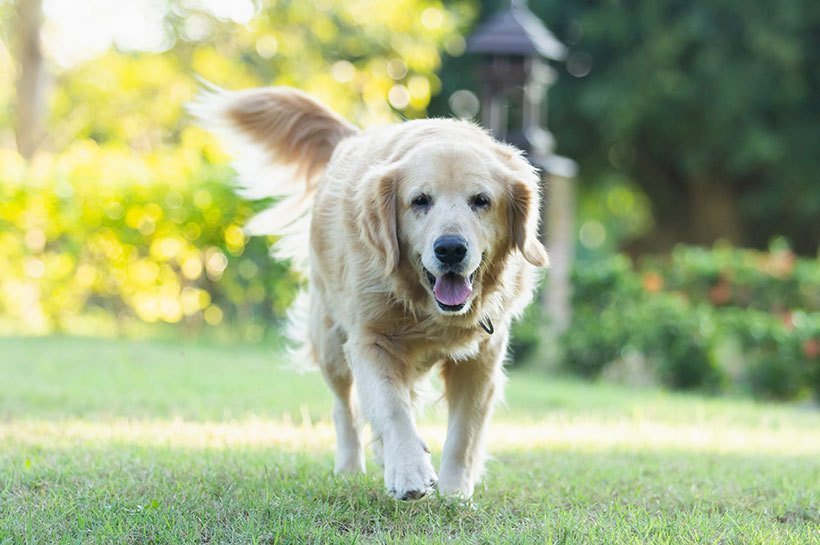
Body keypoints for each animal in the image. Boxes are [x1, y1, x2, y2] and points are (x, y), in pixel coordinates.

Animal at [193, 87, 548, 500]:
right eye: (420, 200)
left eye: (481, 200)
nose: (450, 249)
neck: (425, 307)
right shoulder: (370, 340)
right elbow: (391, 407)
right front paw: (408, 471)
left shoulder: (481, 358)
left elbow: (464, 433)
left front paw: (455, 493)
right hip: (330, 341)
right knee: (345, 408)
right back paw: (352, 465)